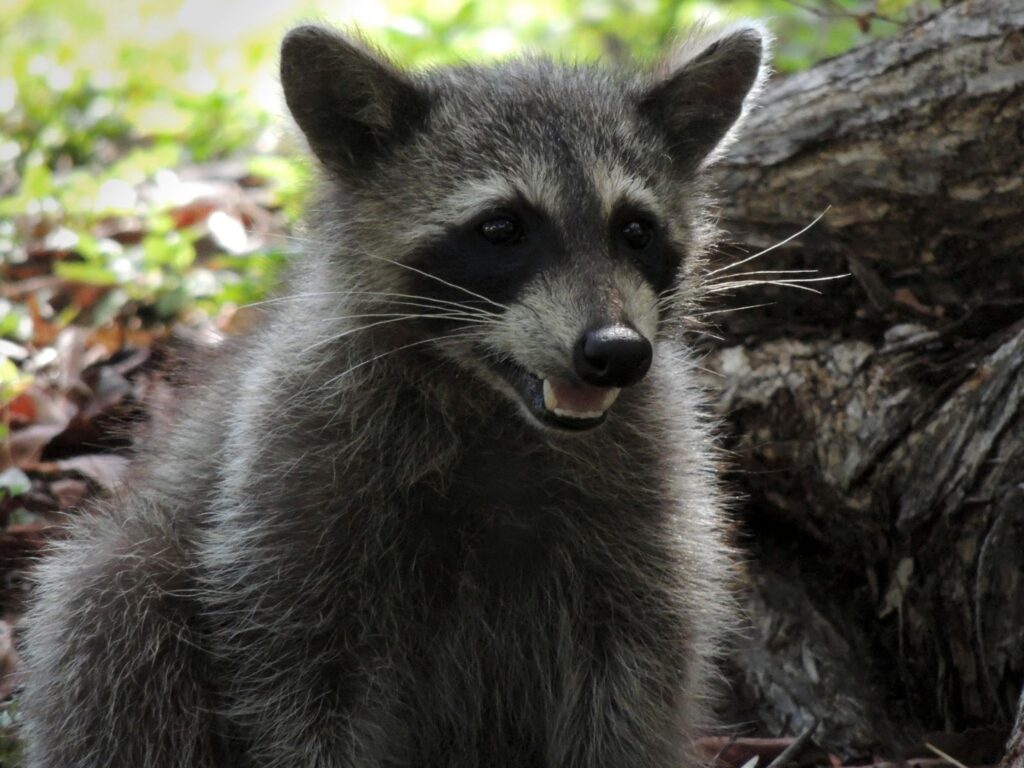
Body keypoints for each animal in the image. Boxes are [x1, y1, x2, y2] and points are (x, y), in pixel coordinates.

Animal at [21, 20, 768, 768]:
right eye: (502, 228)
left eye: (635, 230)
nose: (616, 352)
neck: (491, 401)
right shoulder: (292, 473)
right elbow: (296, 677)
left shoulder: (648, 496)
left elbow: (635, 673)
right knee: (110, 603)